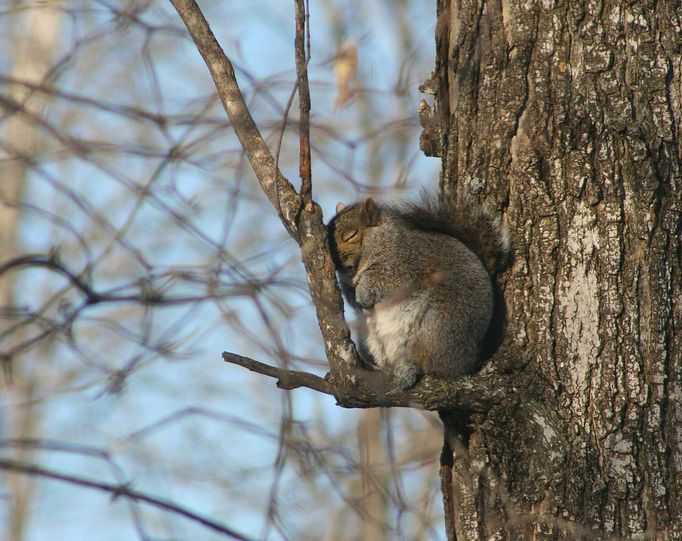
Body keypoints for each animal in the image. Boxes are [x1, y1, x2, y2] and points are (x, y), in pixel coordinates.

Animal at [326, 192, 508, 390]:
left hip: (438, 325)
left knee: (430, 363)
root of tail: (470, 357)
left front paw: (363, 292)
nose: (333, 259)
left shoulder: (404, 263)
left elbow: (384, 280)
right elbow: (353, 299)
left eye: (350, 235)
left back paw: (409, 370)